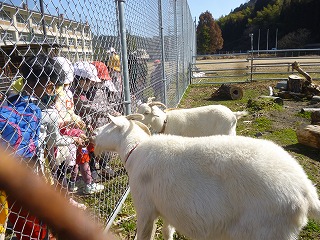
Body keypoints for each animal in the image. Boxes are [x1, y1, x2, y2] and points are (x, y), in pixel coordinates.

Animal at [94, 115, 320, 240]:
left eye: (106, 126)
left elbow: (144, 235)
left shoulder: (145, 208)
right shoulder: (166, 207)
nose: (92, 134)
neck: (135, 150)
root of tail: (306, 189)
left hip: (266, 230)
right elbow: (167, 231)